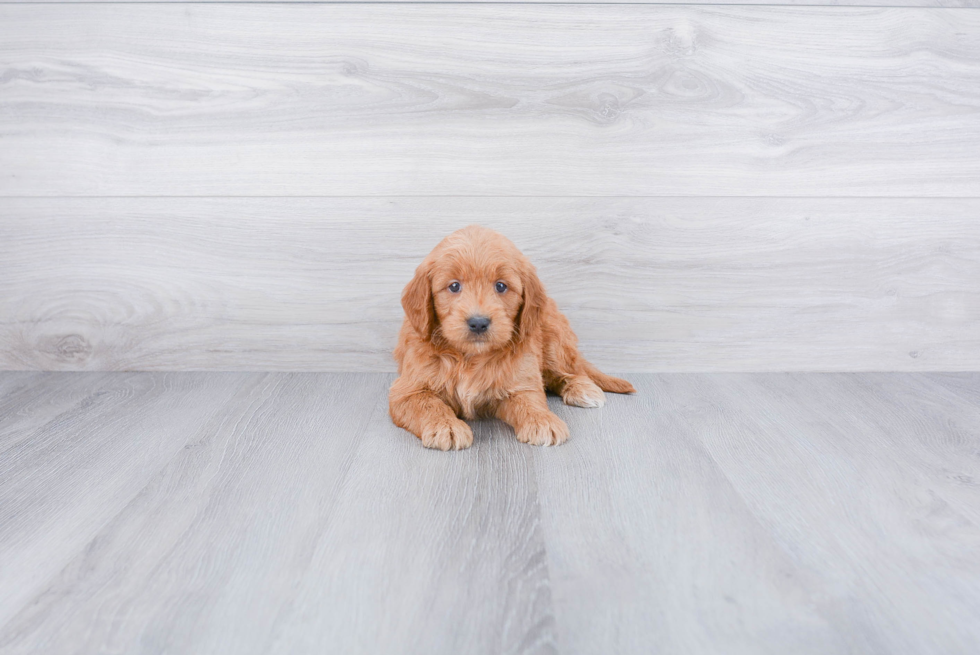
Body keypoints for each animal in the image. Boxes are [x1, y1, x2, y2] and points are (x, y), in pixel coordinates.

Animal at [390, 226, 636, 452]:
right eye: (454, 286)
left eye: (501, 286)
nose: (478, 322)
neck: (470, 357)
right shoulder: (407, 389)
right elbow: (428, 404)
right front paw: (446, 426)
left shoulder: (521, 378)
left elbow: (530, 400)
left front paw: (542, 420)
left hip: (555, 339)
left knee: (569, 371)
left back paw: (582, 389)